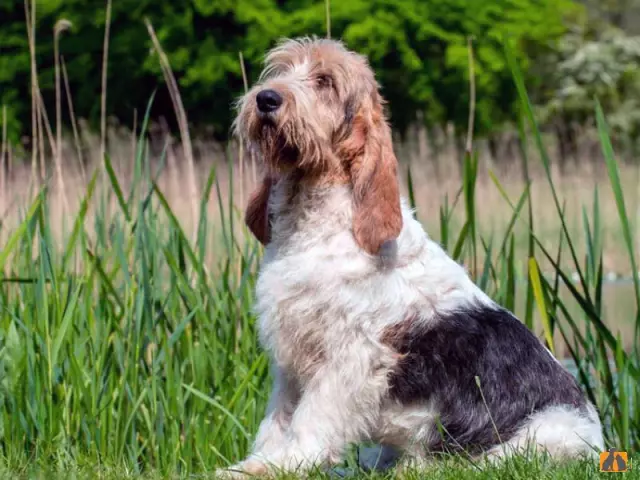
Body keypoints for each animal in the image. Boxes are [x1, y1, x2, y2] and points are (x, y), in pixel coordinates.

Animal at [221, 36, 604, 476]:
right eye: (280, 71)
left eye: (325, 81)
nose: (266, 99)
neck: (313, 217)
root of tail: (601, 441)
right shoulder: (291, 355)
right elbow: (278, 418)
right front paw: (256, 464)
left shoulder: (352, 356)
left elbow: (311, 420)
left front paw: (284, 463)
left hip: (538, 438)